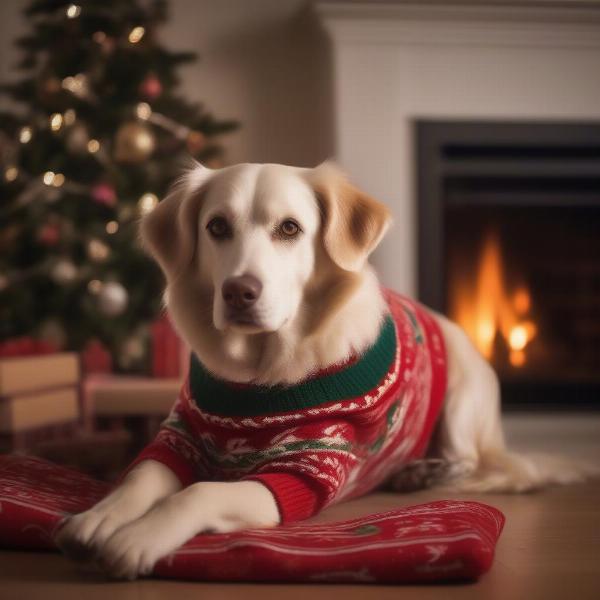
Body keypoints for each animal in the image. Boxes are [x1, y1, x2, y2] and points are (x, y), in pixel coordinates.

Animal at [54, 162, 592, 580]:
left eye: (290, 228)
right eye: (217, 227)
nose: (239, 292)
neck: (256, 374)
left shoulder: (304, 472)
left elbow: (198, 493)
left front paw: (138, 538)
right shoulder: (179, 436)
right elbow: (139, 479)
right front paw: (100, 517)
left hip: (464, 397)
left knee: (479, 464)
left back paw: (421, 472)